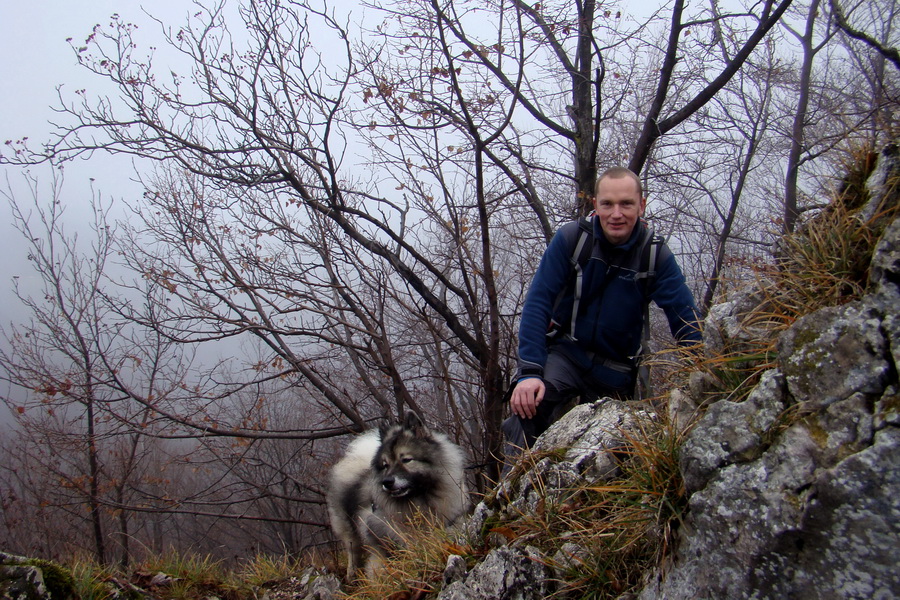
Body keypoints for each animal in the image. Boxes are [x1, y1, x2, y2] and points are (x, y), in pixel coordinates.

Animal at [328, 414, 472, 580]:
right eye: (385, 465)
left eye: (406, 460)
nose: (387, 482)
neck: (419, 497)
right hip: (348, 530)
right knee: (353, 551)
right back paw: (352, 575)